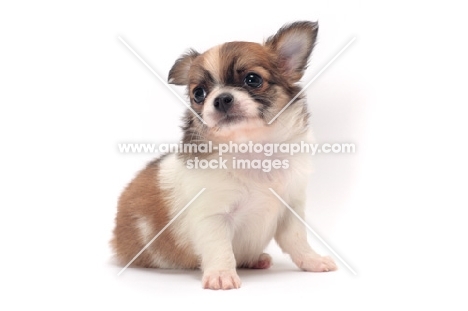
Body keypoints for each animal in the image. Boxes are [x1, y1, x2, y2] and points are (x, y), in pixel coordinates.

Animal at [111, 21, 338, 290]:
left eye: (253, 79)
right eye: (199, 93)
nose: (220, 99)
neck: (251, 148)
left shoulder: (290, 208)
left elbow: (297, 240)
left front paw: (312, 261)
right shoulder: (213, 217)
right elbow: (219, 248)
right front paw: (221, 274)